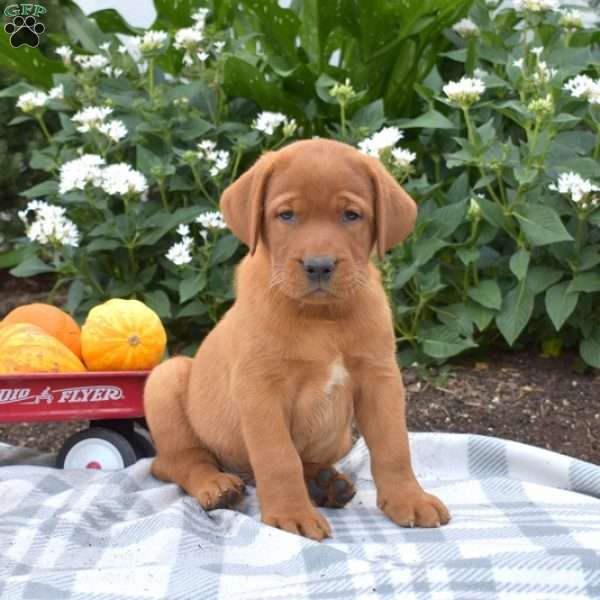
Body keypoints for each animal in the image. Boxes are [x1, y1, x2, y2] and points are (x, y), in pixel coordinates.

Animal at [144, 138, 450, 540]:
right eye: (286, 215)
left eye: (351, 215)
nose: (318, 266)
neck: (321, 318)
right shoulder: (260, 388)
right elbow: (278, 456)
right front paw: (290, 513)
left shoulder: (380, 378)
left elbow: (394, 446)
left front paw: (409, 499)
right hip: (167, 379)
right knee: (177, 461)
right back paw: (218, 486)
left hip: (338, 437)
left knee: (304, 458)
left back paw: (324, 483)